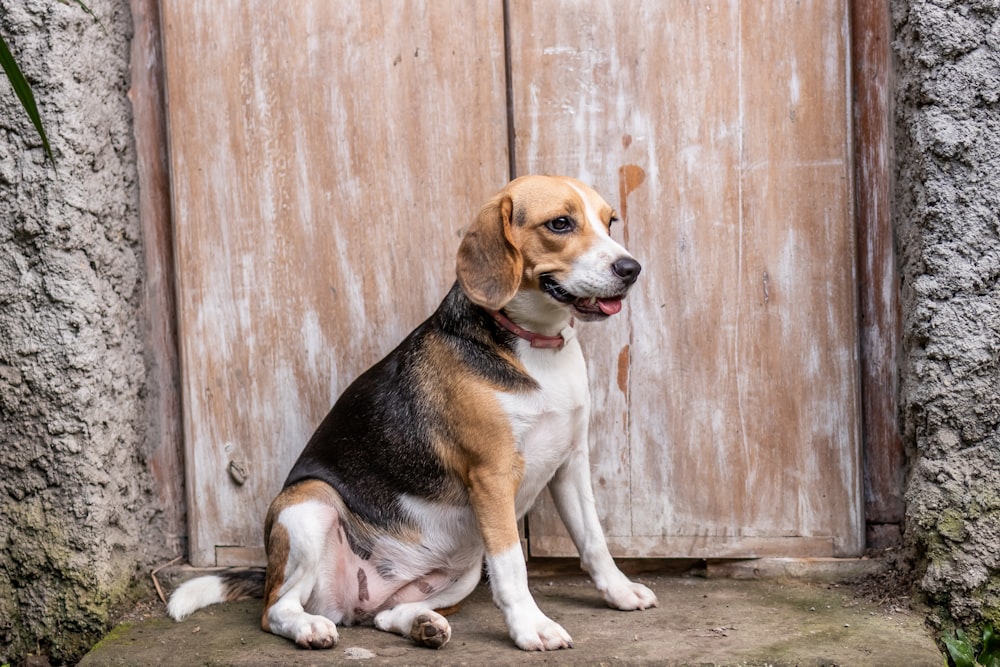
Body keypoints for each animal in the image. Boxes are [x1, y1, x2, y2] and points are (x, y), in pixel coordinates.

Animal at [169, 175, 656, 648]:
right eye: (560, 223)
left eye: (609, 222)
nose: (631, 269)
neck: (535, 345)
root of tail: (352, 602)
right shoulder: (493, 477)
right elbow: (514, 565)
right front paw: (531, 627)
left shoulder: (570, 463)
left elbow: (593, 540)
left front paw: (619, 591)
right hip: (311, 505)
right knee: (275, 609)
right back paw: (309, 627)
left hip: (463, 567)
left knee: (385, 617)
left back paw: (422, 624)